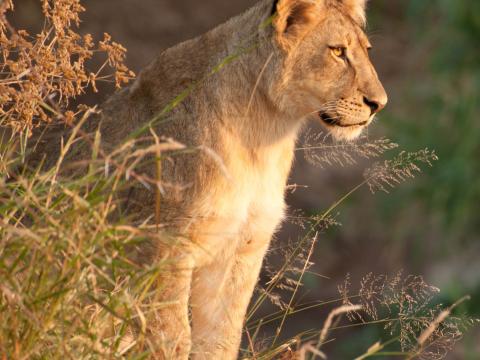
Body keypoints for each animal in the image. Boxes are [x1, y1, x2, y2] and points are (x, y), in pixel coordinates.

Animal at [31, 0, 386, 358]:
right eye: (338, 52)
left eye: (367, 51)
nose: (379, 104)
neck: (264, 132)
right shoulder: (161, 243)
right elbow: (172, 336)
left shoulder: (240, 248)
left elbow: (219, 338)